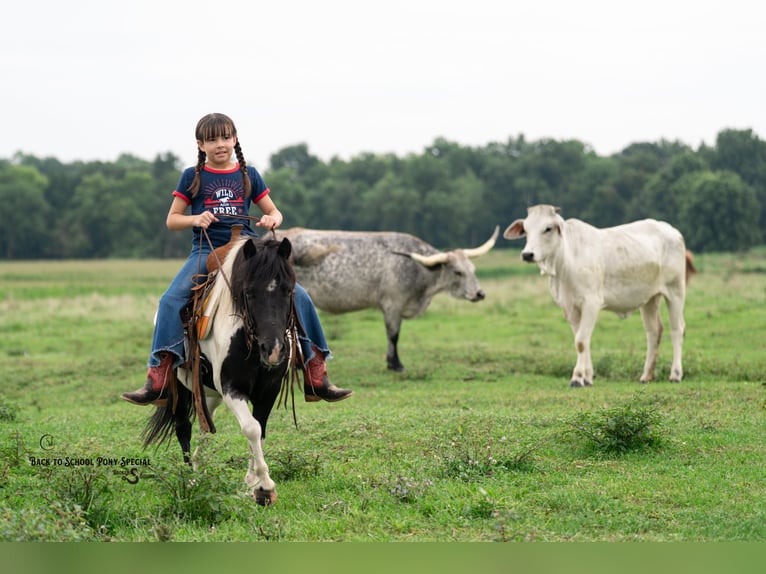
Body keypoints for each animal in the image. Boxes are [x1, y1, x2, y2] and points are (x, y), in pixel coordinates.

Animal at [141, 235, 297, 506]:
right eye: (249, 292)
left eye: (288, 290)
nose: (274, 350)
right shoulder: (231, 387)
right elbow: (251, 428)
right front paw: (265, 487)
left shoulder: (269, 390)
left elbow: (259, 429)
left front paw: (252, 482)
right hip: (181, 388)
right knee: (184, 427)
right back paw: (188, 479)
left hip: (208, 393)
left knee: (206, 426)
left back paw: (199, 470)